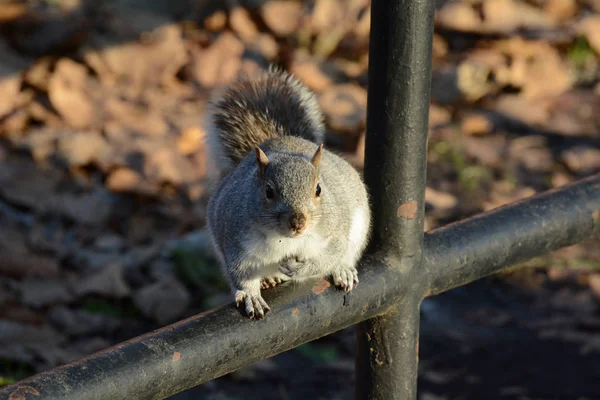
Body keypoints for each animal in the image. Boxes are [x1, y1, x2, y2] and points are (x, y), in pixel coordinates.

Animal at [205, 67, 370, 320]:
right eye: (268, 191)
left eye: (318, 189)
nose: (298, 223)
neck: (286, 239)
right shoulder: (235, 239)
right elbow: (240, 273)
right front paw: (251, 295)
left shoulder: (334, 233)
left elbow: (328, 257)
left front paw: (300, 268)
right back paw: (270, 277)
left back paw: (342, 269)